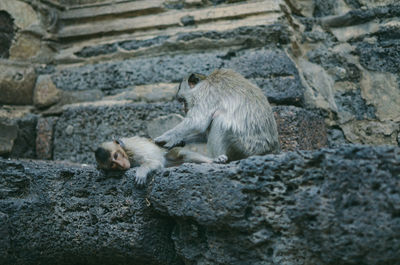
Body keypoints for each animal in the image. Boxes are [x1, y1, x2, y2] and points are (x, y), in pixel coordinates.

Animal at [95, 135, 223, 185]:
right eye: (113, 164)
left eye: (116, 156)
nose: (121, 164)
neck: (126, 153)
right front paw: (101, 171)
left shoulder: (133, 151)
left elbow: (154, 162)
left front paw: (142, 171)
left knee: (182, 154)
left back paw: (213, 161)